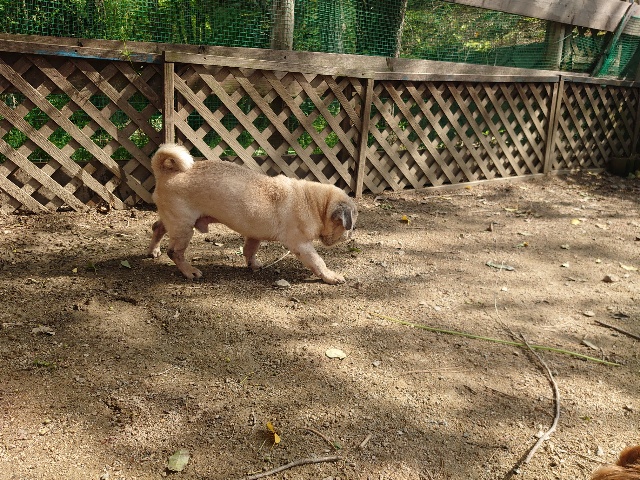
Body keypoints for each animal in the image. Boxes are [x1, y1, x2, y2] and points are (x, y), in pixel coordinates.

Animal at [147, 144, 357, 284]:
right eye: (350, 226)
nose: (350, 234)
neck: (316, 204)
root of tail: (165, 172)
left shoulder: (254, 234)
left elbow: (249, 250)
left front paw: (253, 265)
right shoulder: (301, 245)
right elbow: (318, 262)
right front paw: (330, 276)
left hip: (175, 221)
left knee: (158, 227)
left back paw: (153, 251)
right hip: (184, 227)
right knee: (175, 252)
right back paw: (189, 271)